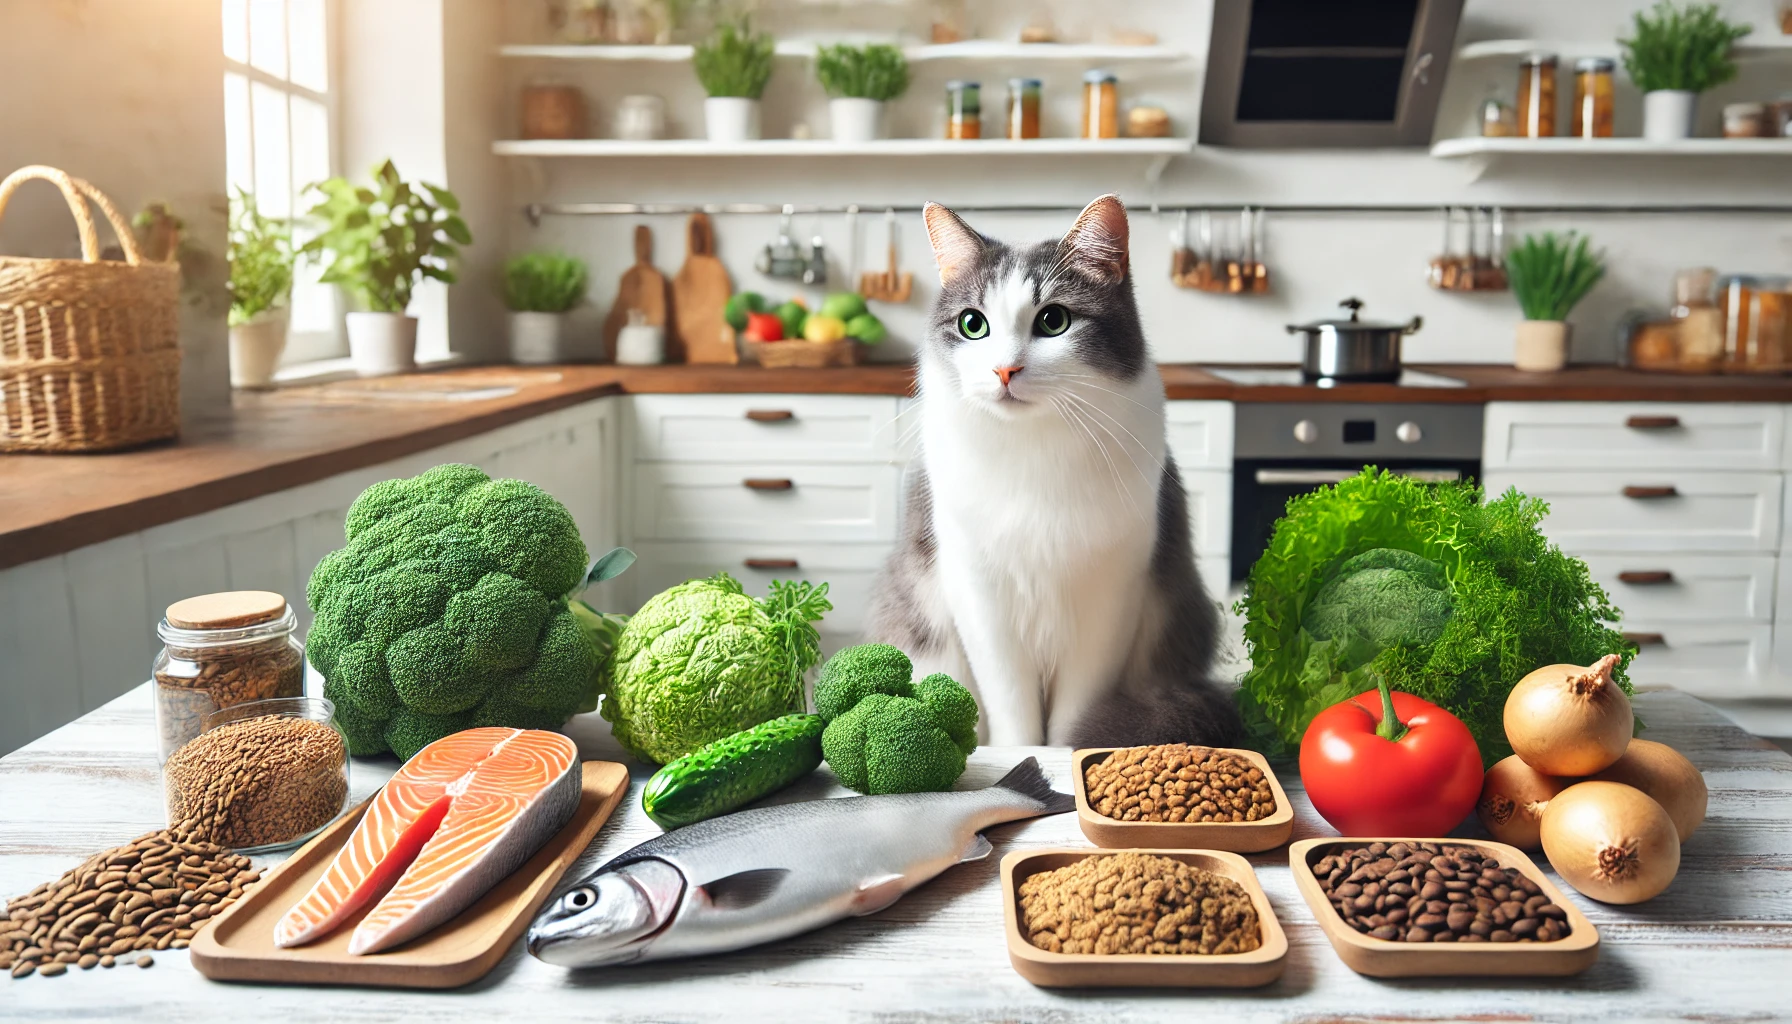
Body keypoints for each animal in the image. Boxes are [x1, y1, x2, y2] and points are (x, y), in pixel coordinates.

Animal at [863, 196, 1232, 749]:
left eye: (1054, 320)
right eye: (973, 324)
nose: (1005, 371)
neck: (1034, 448)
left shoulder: (1110, 598)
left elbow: (1074, 711)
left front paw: (1065, 754)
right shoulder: (979, 594)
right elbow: (1011, 708)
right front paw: (1016, 753)